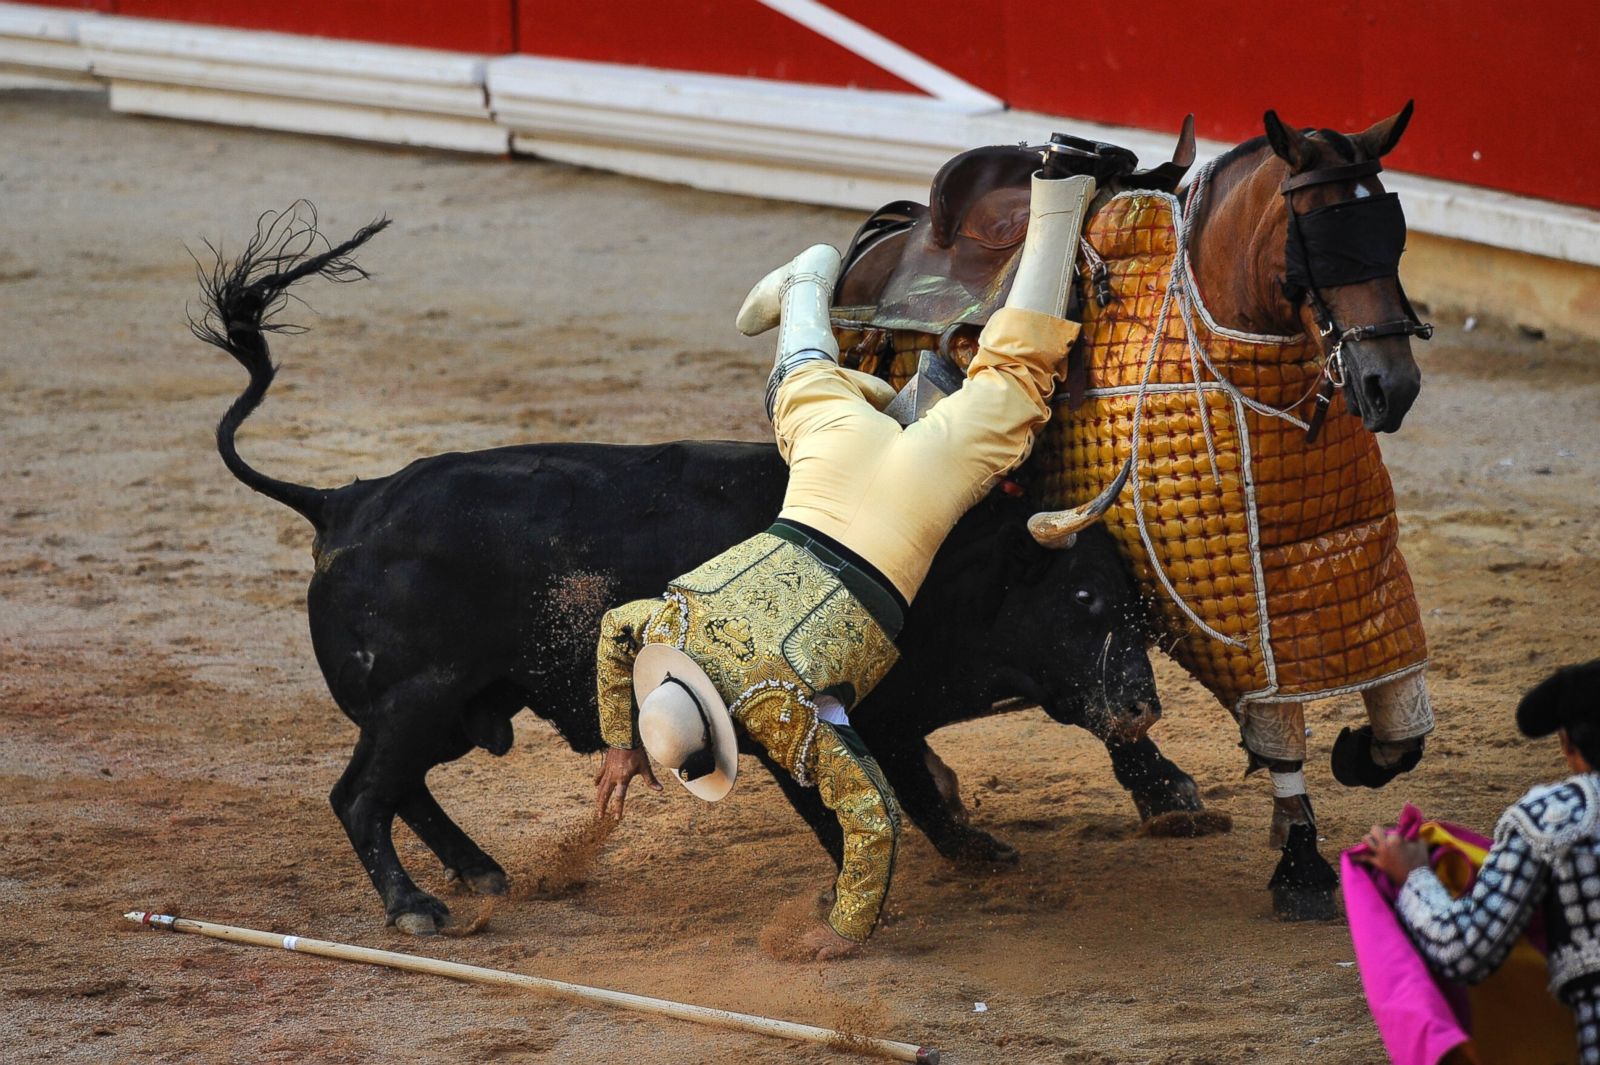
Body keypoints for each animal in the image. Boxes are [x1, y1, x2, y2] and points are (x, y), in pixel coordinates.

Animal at [200, 211, 1222, 933]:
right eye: (1084, 597)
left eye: (1135, 603)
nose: (1142, 704)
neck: (963, 563)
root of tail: (344, 499)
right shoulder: (850, 717)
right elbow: (880, 800)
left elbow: (925, 787)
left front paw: (982, 841)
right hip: (420, 697)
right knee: (361, 794)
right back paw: (416, 904)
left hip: (451, 708)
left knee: (400, 787)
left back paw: (480, 869)